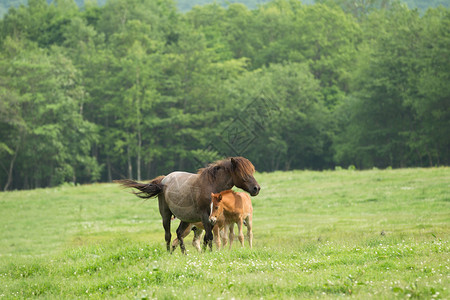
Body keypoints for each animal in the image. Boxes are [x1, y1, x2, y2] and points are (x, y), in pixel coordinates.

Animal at [116, 157, 260, 253]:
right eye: (243, 174)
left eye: (252, 171)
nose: (256, 188)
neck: (210, 185)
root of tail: (163, 180)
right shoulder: (205, 216)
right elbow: (210, 236)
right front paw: (210, 252)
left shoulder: (212, 219)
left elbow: (207, 238)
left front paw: (205, 253)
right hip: (166, 215)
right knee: (168, 235)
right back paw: (169, 253)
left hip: (185, 219)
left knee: (179, 234)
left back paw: (184, 253)